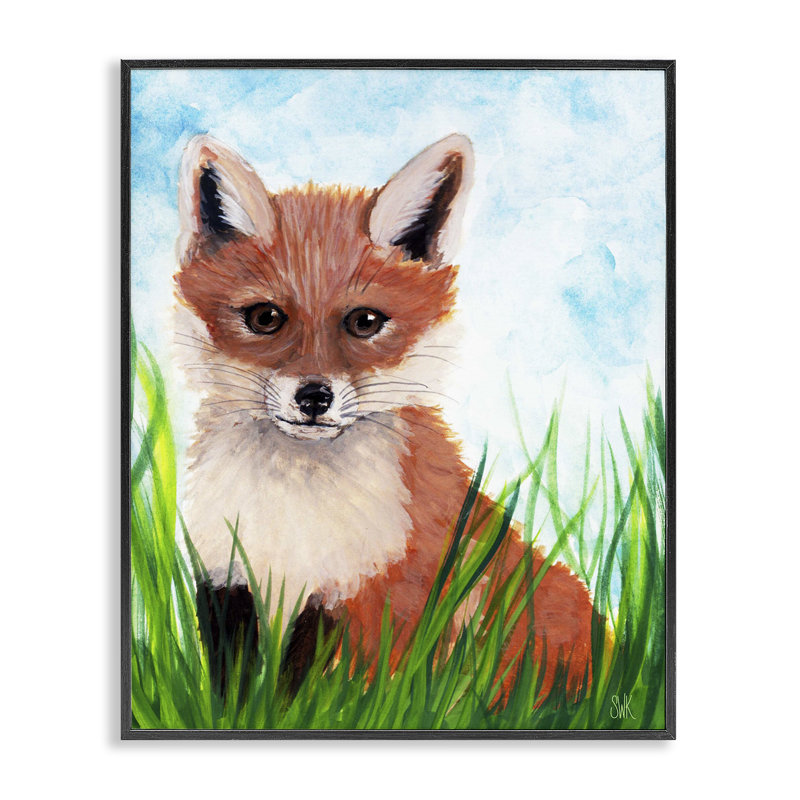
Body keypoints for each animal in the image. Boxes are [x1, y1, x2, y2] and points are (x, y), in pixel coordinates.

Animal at [173, 132, 594, 700]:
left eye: (364, 321)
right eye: (265, 318)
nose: (313, 397)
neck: (297, 512)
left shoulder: (375, 596)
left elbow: (330, 694)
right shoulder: (229, 582)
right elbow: (239, 695)